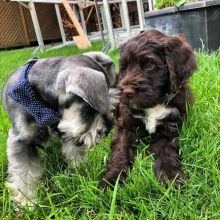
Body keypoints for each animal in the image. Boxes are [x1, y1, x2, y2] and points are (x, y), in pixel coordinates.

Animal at [2, 51, 118, 206]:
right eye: (89, 110)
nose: (107, 131)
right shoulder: (19, 142)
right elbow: (24, 174)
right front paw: (27, 203)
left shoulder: (68, 132)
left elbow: (73, 151)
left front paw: (78, 170)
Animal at [99, 29, 196, 187]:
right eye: (124, 67)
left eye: (149, 65)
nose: (126, 92)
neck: (154, 104)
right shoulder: (126, 126)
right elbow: (120, 151)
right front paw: (112, 180)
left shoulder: (169, 127)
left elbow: (167, 152)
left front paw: (171, 177)